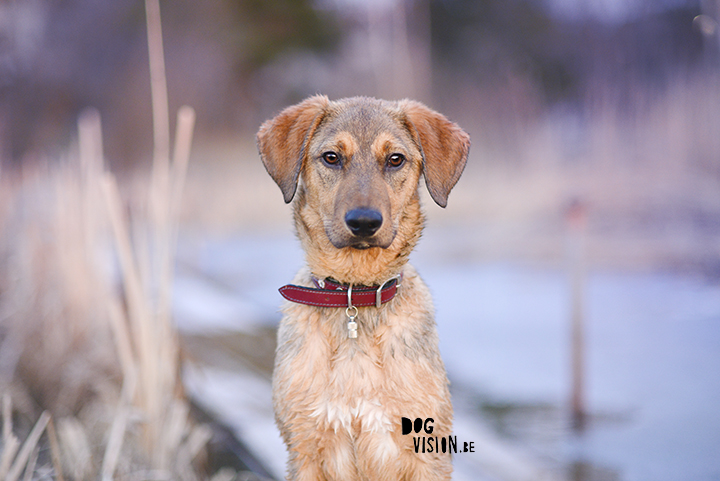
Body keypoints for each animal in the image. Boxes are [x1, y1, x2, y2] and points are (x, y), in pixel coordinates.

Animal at [256, 95, 470, 478]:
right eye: (331, 157)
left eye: (395, 159)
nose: (364, 222)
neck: (355, 294)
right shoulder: (304, 447)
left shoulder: (427, 451)